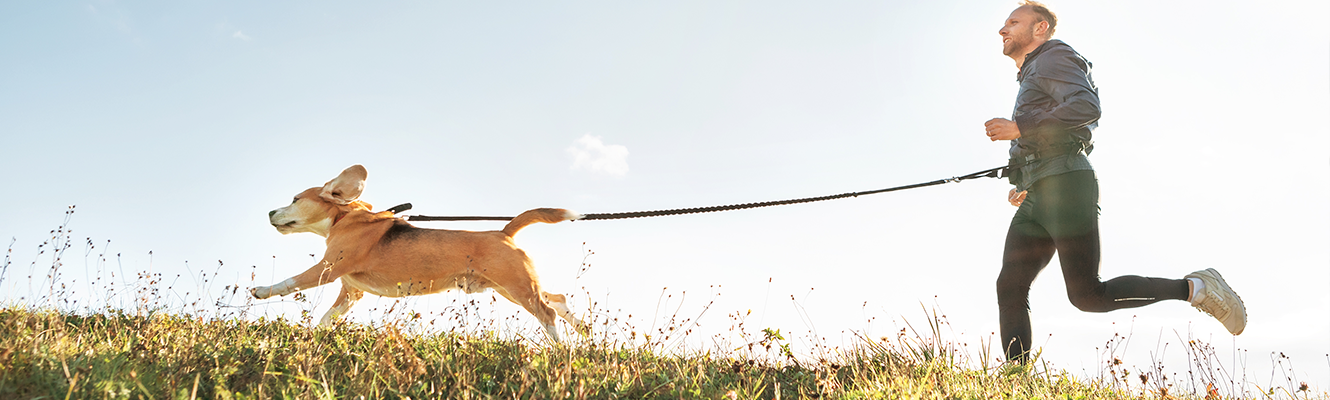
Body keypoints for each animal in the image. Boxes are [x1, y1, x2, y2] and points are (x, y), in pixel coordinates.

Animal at [251, 163, 590, 340]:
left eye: (295, 199)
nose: (269, 212)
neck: (345, 217)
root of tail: (504, 231)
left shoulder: (328, 267)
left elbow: (290, 282)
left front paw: (261, 290)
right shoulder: (351, 291)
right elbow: (328, 316)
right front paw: (316, 336)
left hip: (516, 285)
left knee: (547, 312)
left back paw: (560, 348)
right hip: (510, 287)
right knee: (557, 299)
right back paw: (582, 330)